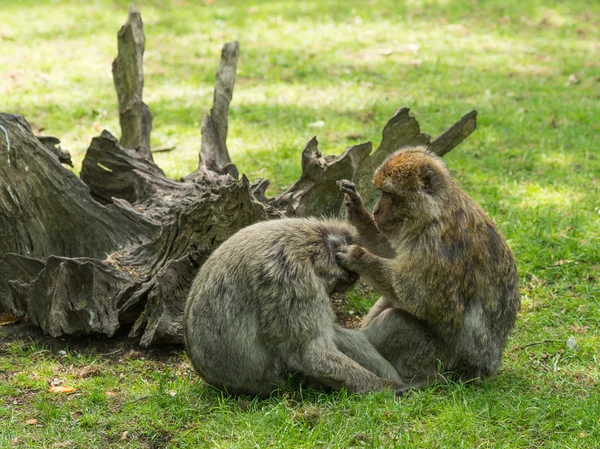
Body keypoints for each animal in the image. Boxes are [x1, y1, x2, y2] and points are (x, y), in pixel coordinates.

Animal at [183, 217, 408, 396]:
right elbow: (308, 354)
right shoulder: (291, 277)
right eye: (336, 285)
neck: (308, 243)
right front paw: (385, 386)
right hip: (277, 378)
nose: (329, 295)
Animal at [338, 145, 520, 386]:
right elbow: (393, 252)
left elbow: (425, 301)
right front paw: (358, 212)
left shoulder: (436, 245)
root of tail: (486, 368)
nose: (376, 210)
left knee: (394, 320)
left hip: (441, 361)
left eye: (389, 194)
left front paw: (358, 257)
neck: (436, 211)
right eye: (381, 192)